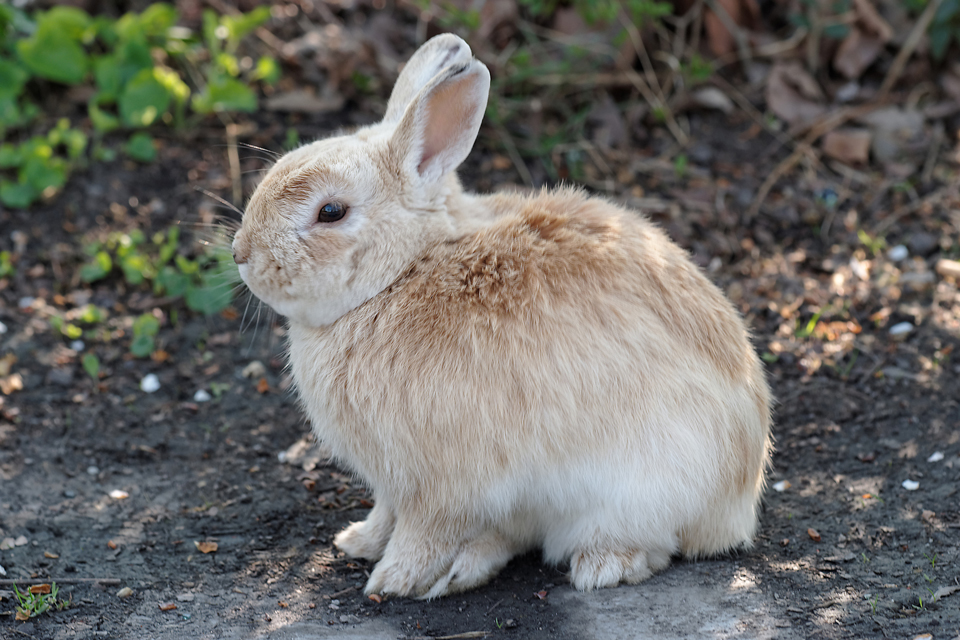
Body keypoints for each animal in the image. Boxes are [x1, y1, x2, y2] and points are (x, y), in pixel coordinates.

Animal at [232, 31, 772, 600]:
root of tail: (739, 501)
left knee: (646, 545)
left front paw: (393, 580)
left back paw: (597, 565)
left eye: (330, 212)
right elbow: (386, 515)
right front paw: (358, 541)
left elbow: (423, 530)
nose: (241, 253)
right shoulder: (395, 484)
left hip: (637, 490)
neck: (406, 271)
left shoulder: (444, 483)